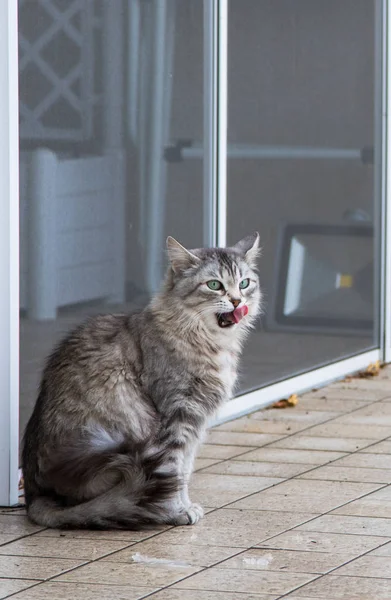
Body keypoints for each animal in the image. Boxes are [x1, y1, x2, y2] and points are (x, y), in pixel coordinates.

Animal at [21, 232, 262, 528]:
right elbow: (174, 472)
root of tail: (32, 498)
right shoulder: (176, 417)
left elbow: (184, 470)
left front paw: (184, 506)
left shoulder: (195, 424)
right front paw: (176, 512)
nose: (238, 301)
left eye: (244, 283)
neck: (208, 342)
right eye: (214, 285)